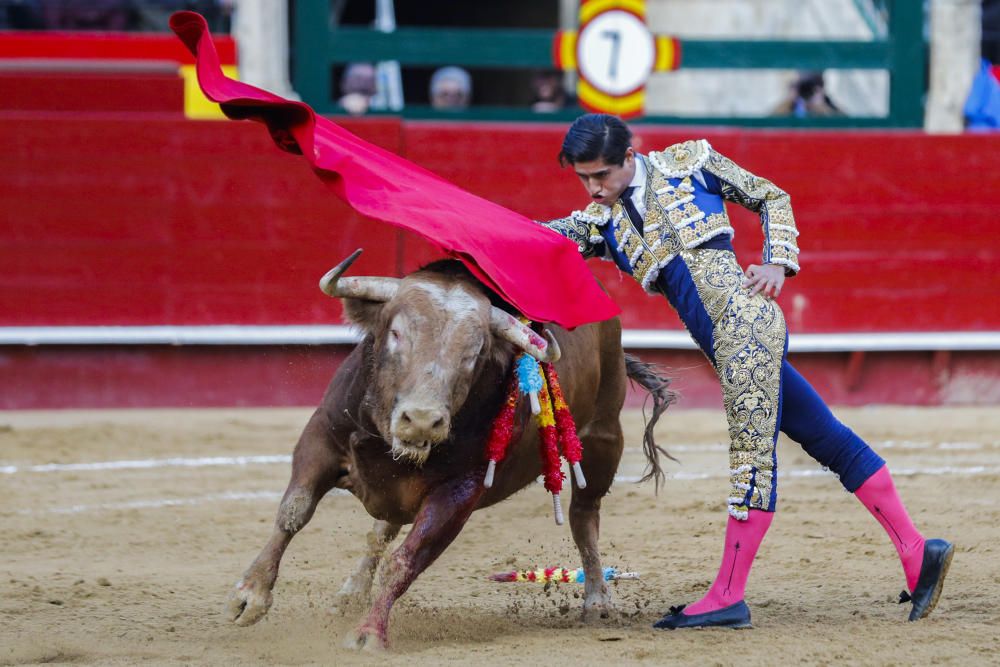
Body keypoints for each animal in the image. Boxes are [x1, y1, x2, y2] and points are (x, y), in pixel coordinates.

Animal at [223, 250, 668, 652]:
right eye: (396, 334)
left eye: (474, 353)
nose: (421, 420)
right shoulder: (320, 439)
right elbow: (294, 511)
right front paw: (250, 596)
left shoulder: (458, 493)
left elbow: (406, 560)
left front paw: (369, 633)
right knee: (380, 530)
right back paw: (349, 593)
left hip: (603, 437)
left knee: (584, 514)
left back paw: (597, 600)